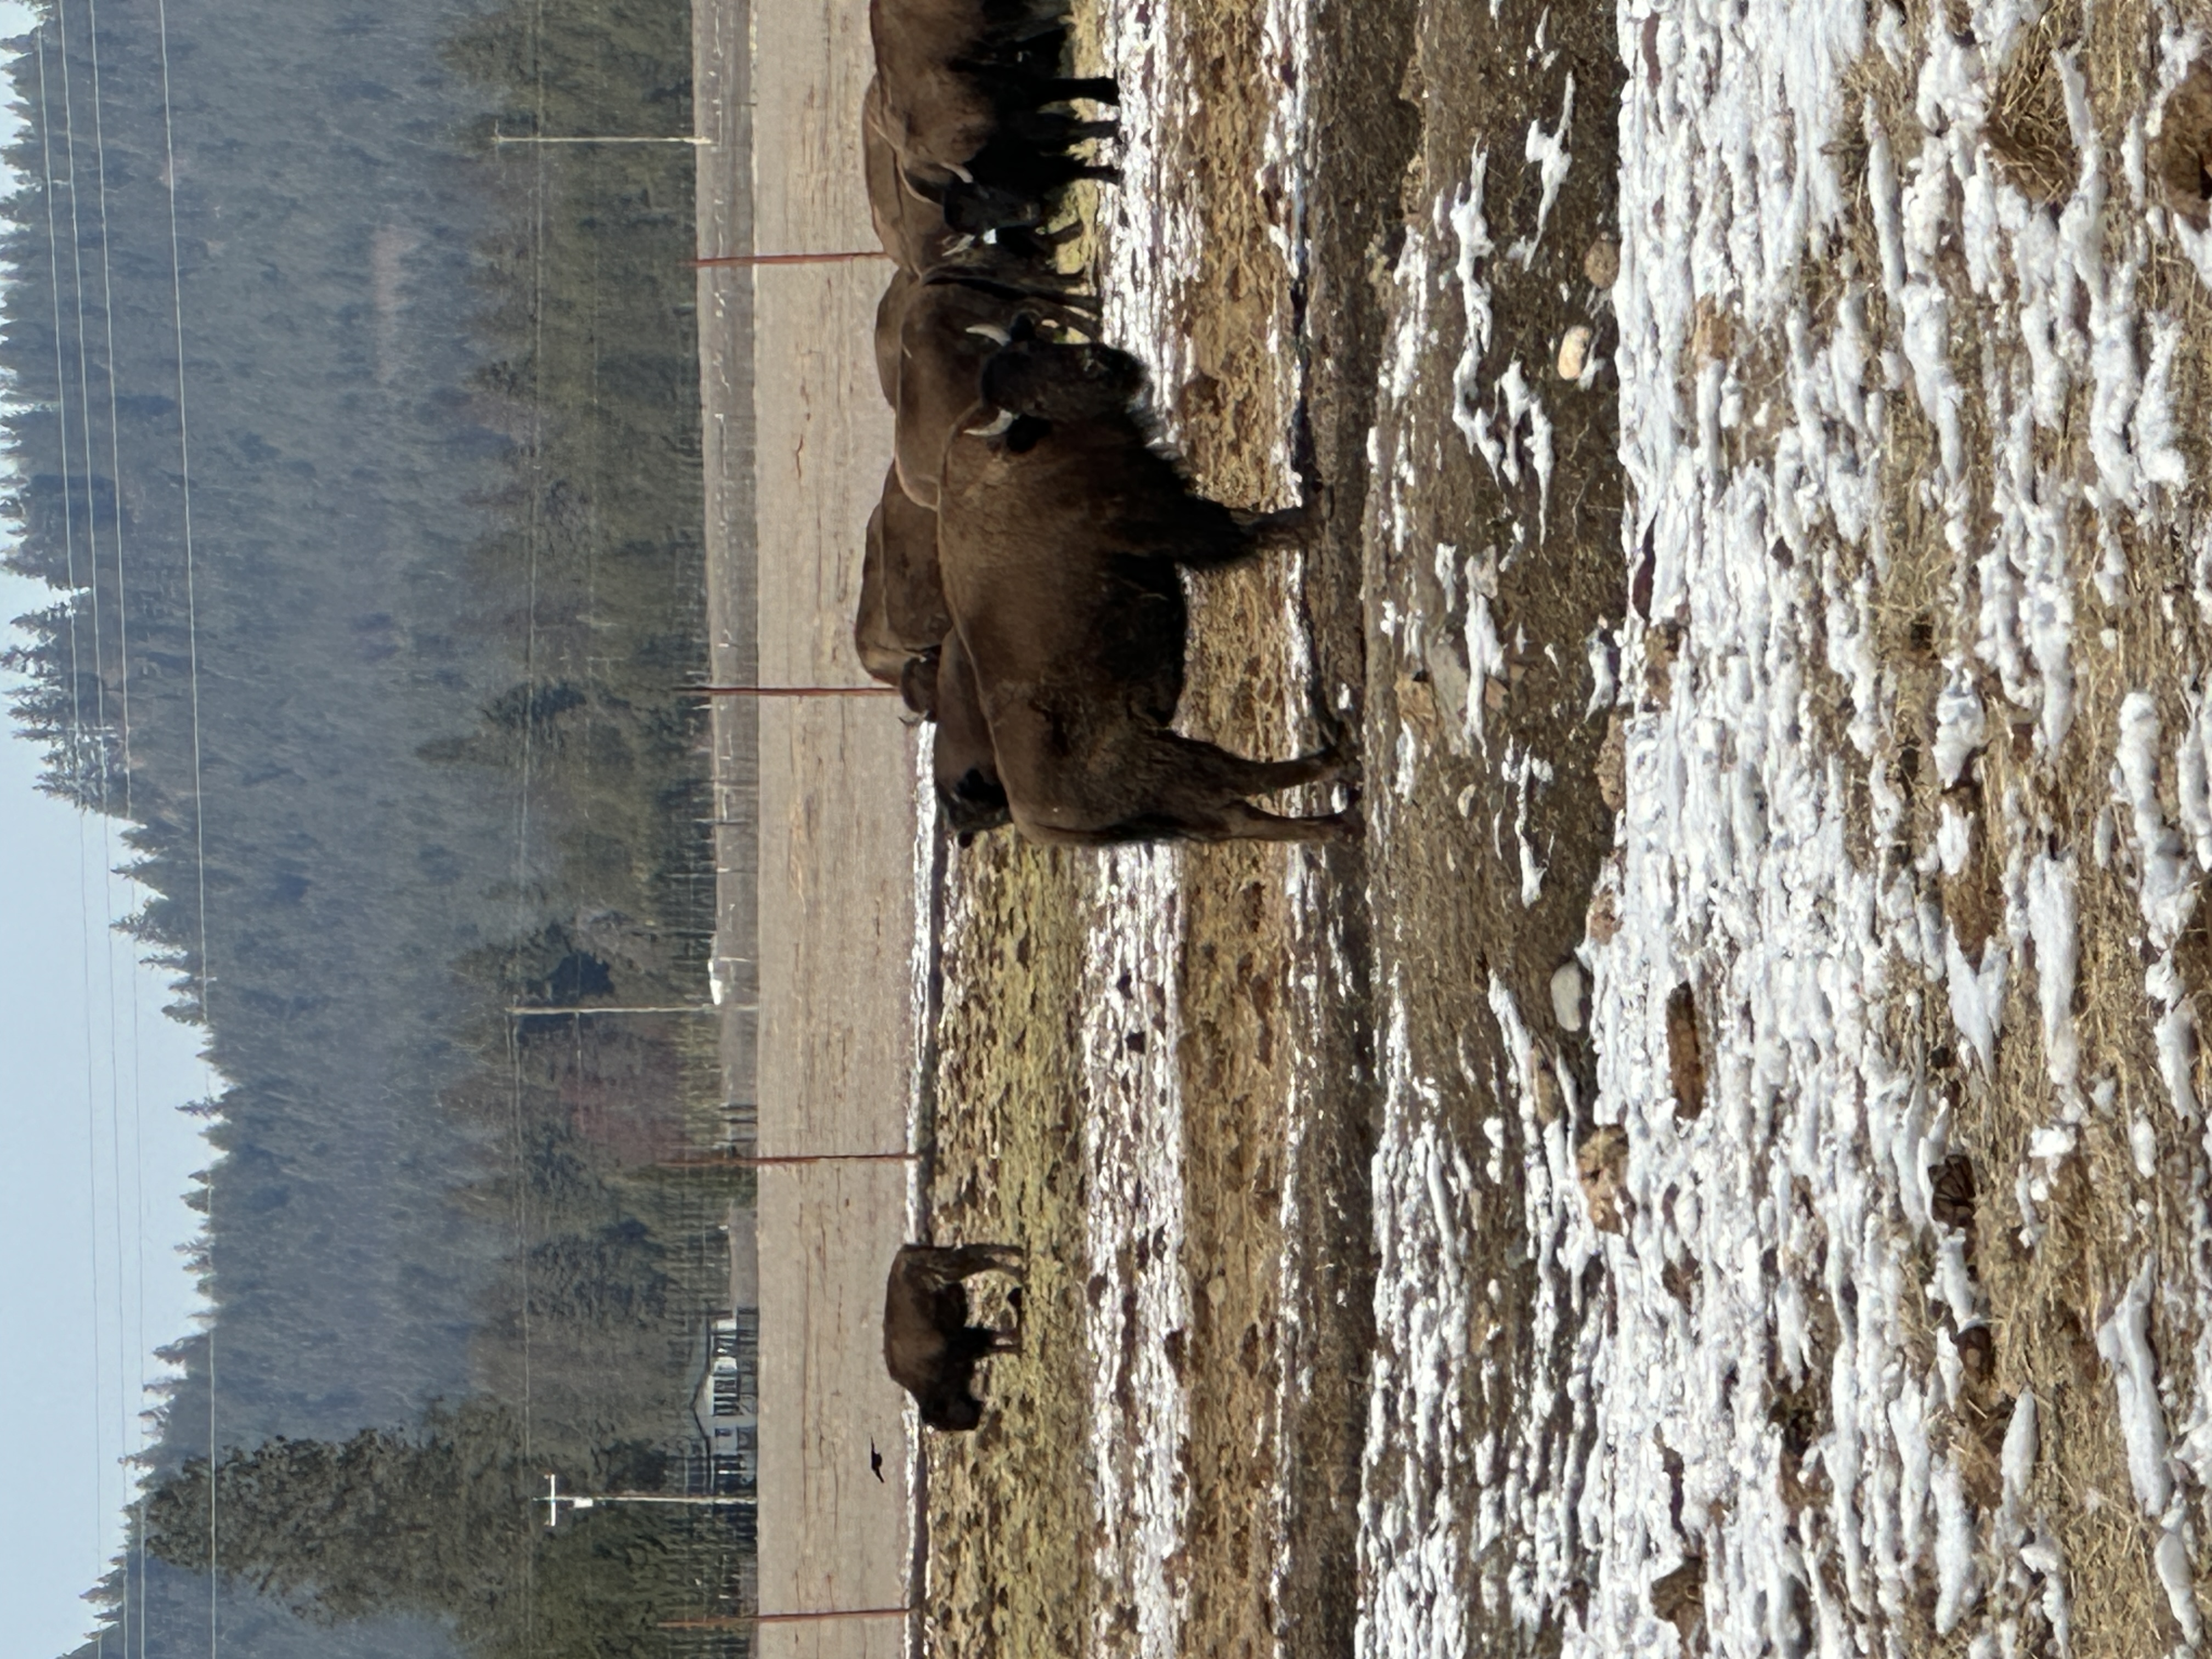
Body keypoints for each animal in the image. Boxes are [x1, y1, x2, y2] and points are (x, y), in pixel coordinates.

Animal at [882, 1242, 1027, 1431]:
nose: (974, 1423)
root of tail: (905, 1253)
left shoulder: (963, 1344)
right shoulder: (968, 1341)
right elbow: (995, 1342)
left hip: (952, 1268)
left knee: (988, 1258)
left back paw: (1020, 1269)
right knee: (986, 1254)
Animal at [934, 336, 1357, 844]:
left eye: (1041, 345)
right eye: (1033, 403)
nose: (1105, 362)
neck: (1023, 447)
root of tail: (1036, 819)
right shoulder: (1161, 519)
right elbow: (1241, 531)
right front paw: (1316, 512)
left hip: (1177, 799)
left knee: (1239, 817)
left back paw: (1340, 819)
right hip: (1167, 766)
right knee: (1242, 785)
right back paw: (1341, 766)